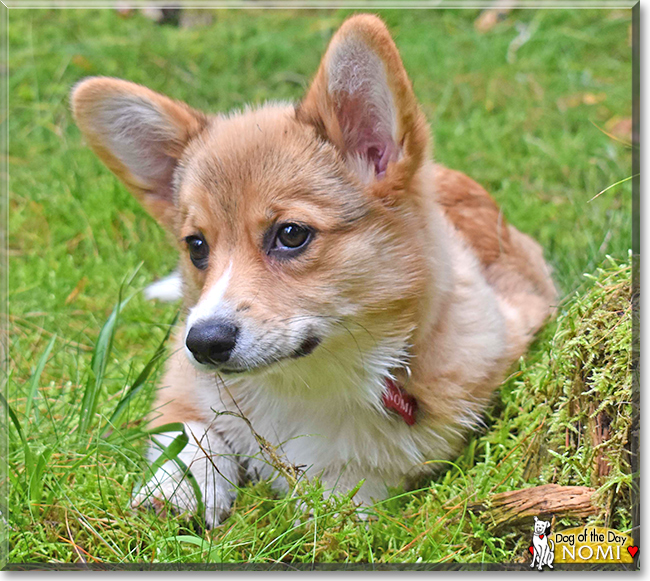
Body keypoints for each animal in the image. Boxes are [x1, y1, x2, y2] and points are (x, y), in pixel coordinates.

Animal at [72, 13, 556, 524]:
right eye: (197, 246)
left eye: (291, 234)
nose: (203, 343)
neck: (307, 382)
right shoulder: (182, 380)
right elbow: (190, 432)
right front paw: (178, 489)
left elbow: (344, 488)